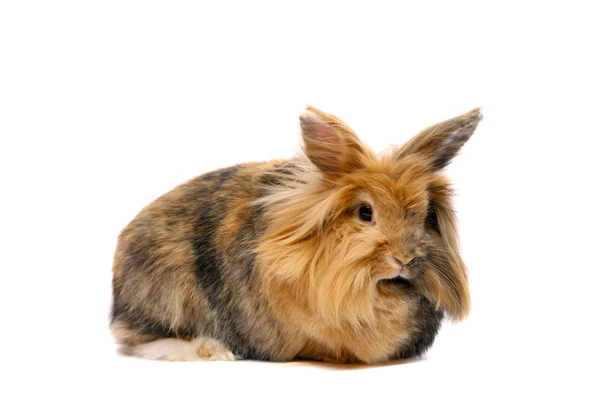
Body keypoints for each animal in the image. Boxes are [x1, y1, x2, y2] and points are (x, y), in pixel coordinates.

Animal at [109, 104, 482, 364]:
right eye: (365, 212)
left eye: (427, 215)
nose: (405, 259)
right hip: (165, 295)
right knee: (139, 339)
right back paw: (212, 351)